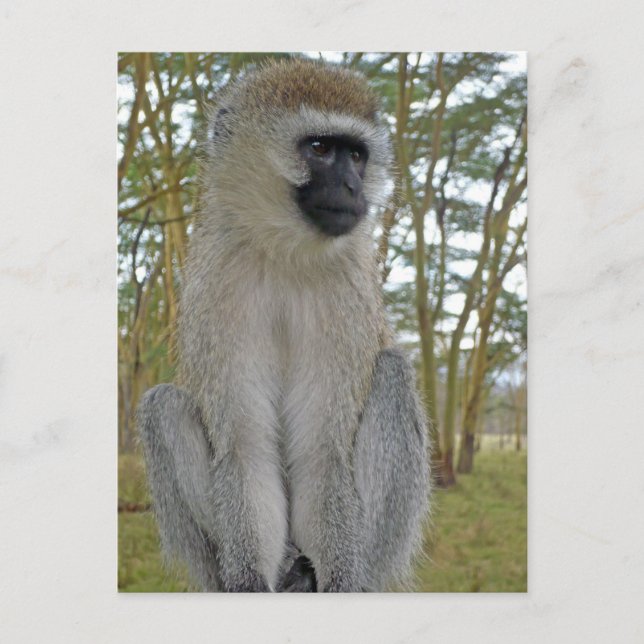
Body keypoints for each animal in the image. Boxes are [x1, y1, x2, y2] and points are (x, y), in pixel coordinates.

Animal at [137, 58, 430, 592]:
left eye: (357, 156)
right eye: (319, 149)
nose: (354, 189)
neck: (284, 253)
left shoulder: (345, 295)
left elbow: (322, 452)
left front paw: (341, 584)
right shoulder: (218, 285)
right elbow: (245, 447)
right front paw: (249, 581)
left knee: (394, 373)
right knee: (161, 405)